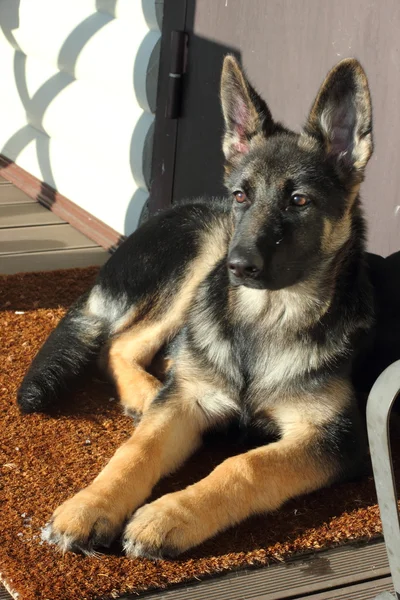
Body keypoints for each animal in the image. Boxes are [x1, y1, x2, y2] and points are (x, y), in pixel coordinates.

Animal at [17, 56, 376, 556]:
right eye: (242, 195)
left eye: (299, 201)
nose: (237, 267)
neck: (264, 318)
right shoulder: (185, 402)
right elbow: (137, 450)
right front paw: (91, 505)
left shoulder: (337, 438)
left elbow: (246, 464)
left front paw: (170, 514)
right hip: (209, 243)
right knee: (119, 345)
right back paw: (149, 393)